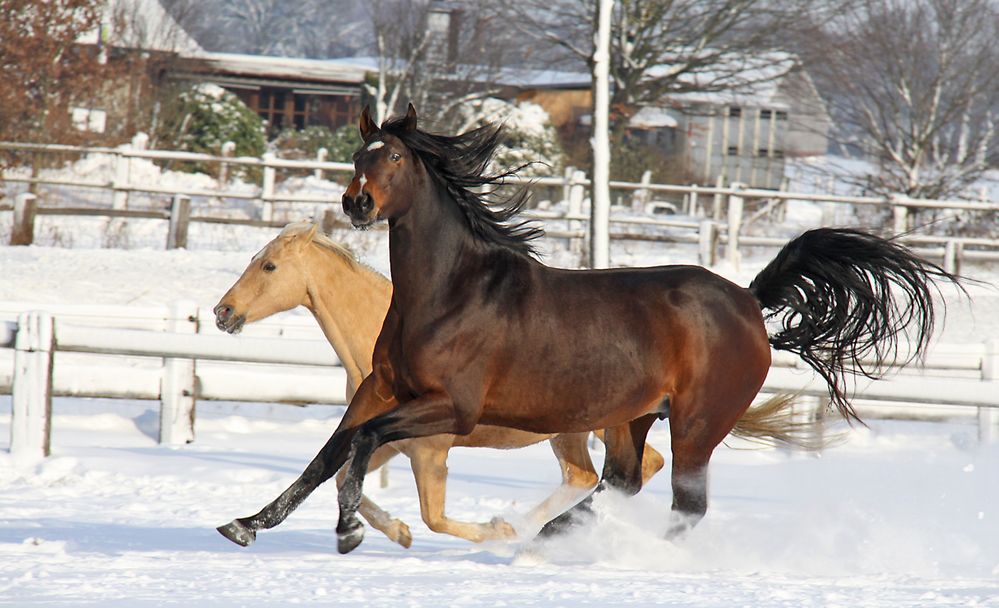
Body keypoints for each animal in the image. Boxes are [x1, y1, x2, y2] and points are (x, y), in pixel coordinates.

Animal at [214, 222, 672, 548]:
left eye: (269, 266)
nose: (223, 312)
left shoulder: (429, 451)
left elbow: (433, 517)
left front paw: (495, 531)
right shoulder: (389, 442)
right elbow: (345, 479)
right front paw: (397, 532)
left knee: (640, 466)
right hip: (569, 433)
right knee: (586, 476)